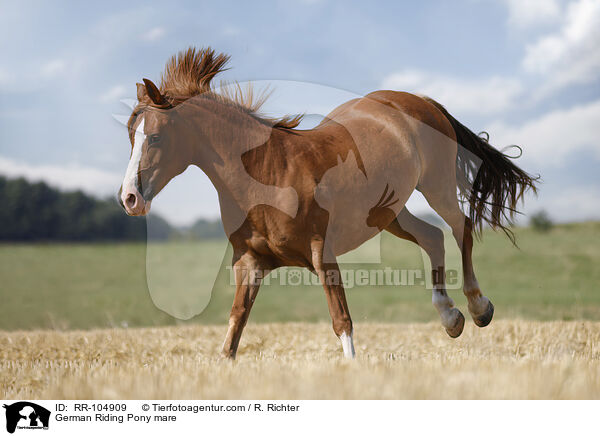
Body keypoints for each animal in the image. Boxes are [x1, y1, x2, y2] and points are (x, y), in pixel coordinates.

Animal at [119, 49, 536, 360]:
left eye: (155, 137)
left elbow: (342, 322)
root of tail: (420, 100)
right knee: (433, 236)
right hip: (390, 212)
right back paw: (451, 318)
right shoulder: (250, 262)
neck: (266, 173)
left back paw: (479, 308)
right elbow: (235, 327)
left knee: (460, 227)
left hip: (436, 186)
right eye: (130, 134)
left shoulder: (323, 253)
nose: (129, 198)